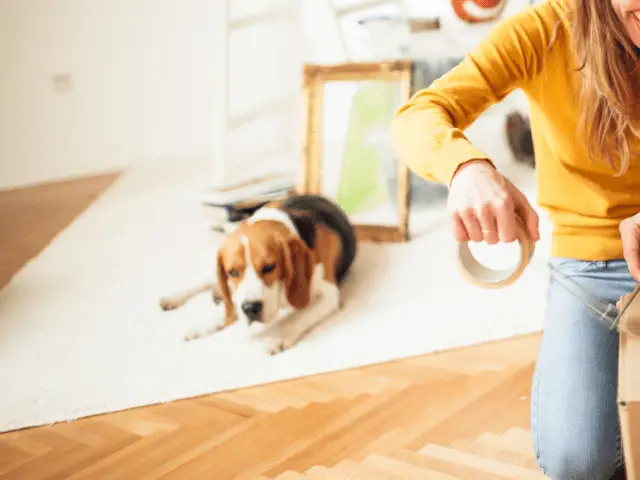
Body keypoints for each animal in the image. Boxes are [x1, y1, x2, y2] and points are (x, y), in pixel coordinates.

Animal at [160, 193, 358, 354]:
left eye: (269, 267)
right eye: (232, 272)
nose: (250, 309)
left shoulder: (329, 296)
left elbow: (302, 317)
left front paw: (281, 336)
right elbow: (229, 306)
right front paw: (206, 323)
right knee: (206, 283)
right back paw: (175, 298)